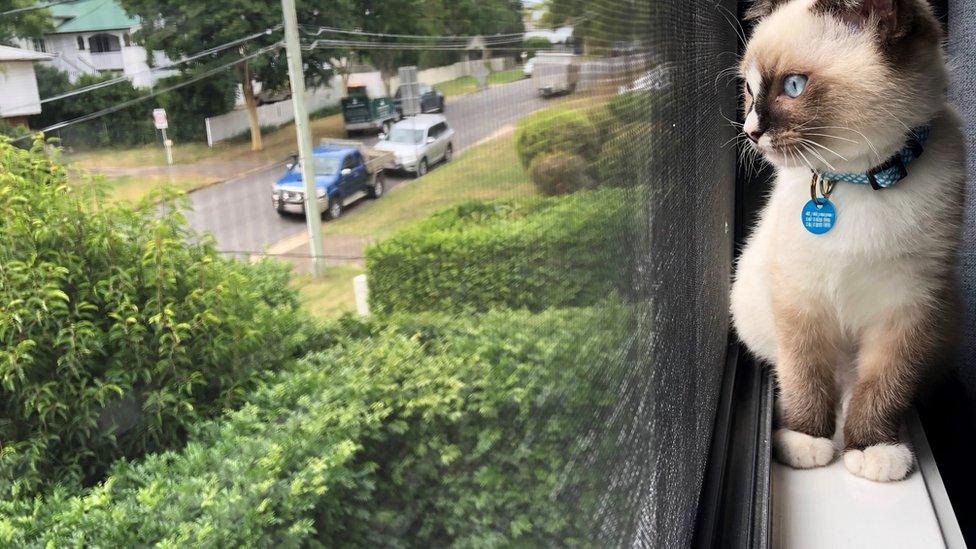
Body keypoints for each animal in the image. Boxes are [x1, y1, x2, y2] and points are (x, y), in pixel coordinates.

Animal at [728, 0, 964, 480]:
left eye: (793, 86)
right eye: (748, 88)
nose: (750, 131)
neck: (856, 180)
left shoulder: (909, 308)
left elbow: (884, 385)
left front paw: (873, 447)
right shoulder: (800, 300)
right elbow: (804, 377)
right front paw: (805, 439)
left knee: (855, 386)